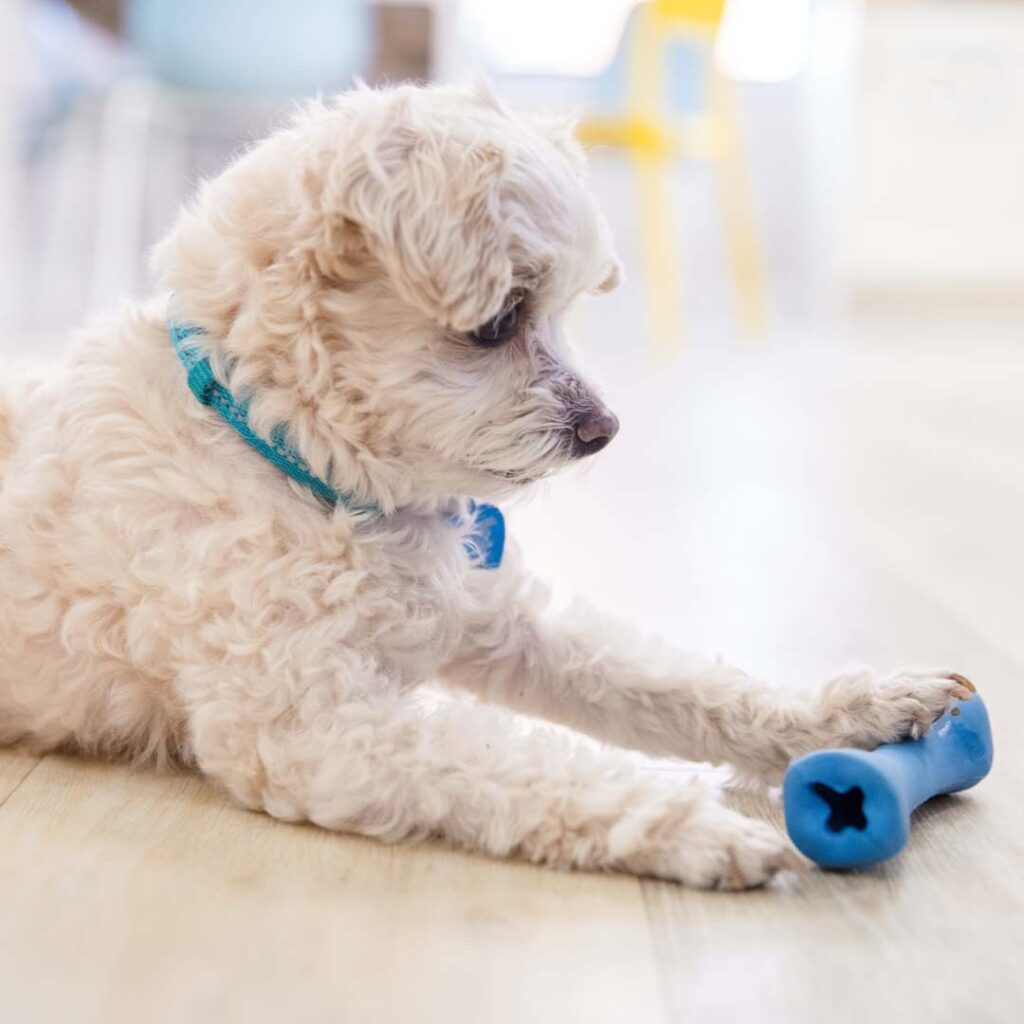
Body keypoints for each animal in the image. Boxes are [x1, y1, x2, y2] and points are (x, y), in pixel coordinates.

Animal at [0, 83, 966, 888]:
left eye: (565, 310)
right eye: (499, 321)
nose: (603, 431)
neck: (288, 458)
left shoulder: (500, 620)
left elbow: (664, 679)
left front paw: (850, 712)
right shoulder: (310, 729)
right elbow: (516, 765)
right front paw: (691, 827)